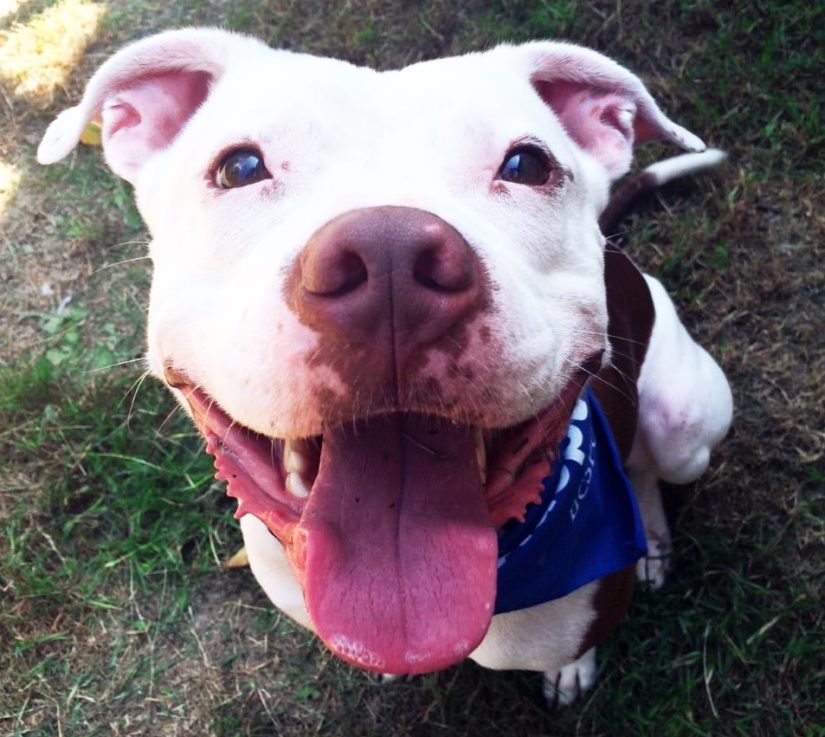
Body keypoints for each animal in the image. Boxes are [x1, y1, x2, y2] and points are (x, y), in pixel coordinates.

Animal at [40, 28, 732, 704]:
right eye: (239, 167)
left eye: (527, 165)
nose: (389, 258)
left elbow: (576, 643)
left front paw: (571, 668)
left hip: (685, 424)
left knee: (649, 467)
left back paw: (651, 539)